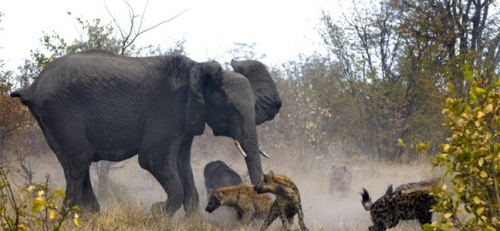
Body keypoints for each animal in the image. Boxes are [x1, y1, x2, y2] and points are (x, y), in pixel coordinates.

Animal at [9, 47, 282, 216]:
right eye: (228, 108)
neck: (199, 69)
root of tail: (32, 88)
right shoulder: (168, 112)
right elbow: (153, 159)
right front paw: (157, 214)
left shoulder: (185, 120)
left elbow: (183, 166)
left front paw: (191, 221)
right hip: (61, 114)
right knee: (77, 163)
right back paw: (73, 215)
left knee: (77, 163)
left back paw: (91, 216)